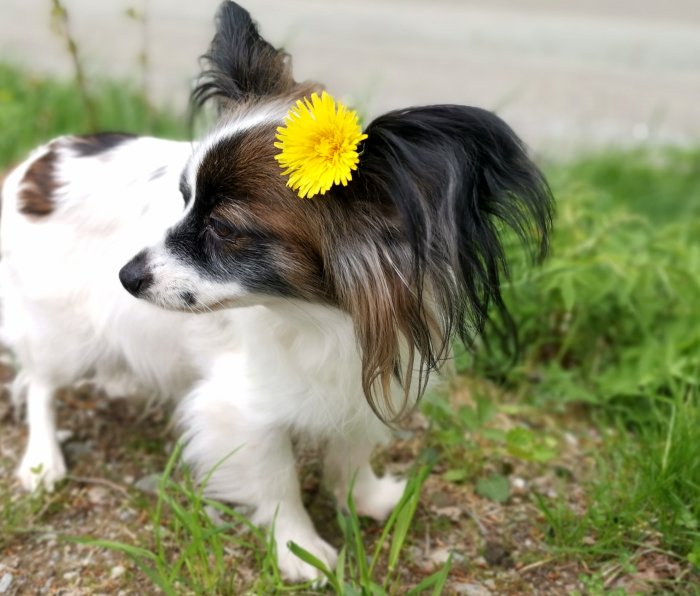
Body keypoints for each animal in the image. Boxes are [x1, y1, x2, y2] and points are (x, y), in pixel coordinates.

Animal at [1, 0, 552, 584]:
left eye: (222, 228)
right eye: (184, 198)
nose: (126, 277)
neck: (320, 314)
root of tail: (38, 161)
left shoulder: (362, 378)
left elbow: (350, 454)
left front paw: (366, 499)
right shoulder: (243, 411)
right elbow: (279, 482)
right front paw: (300, 550)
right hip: (61, 334)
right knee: (39, 384)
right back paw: (42, 460)